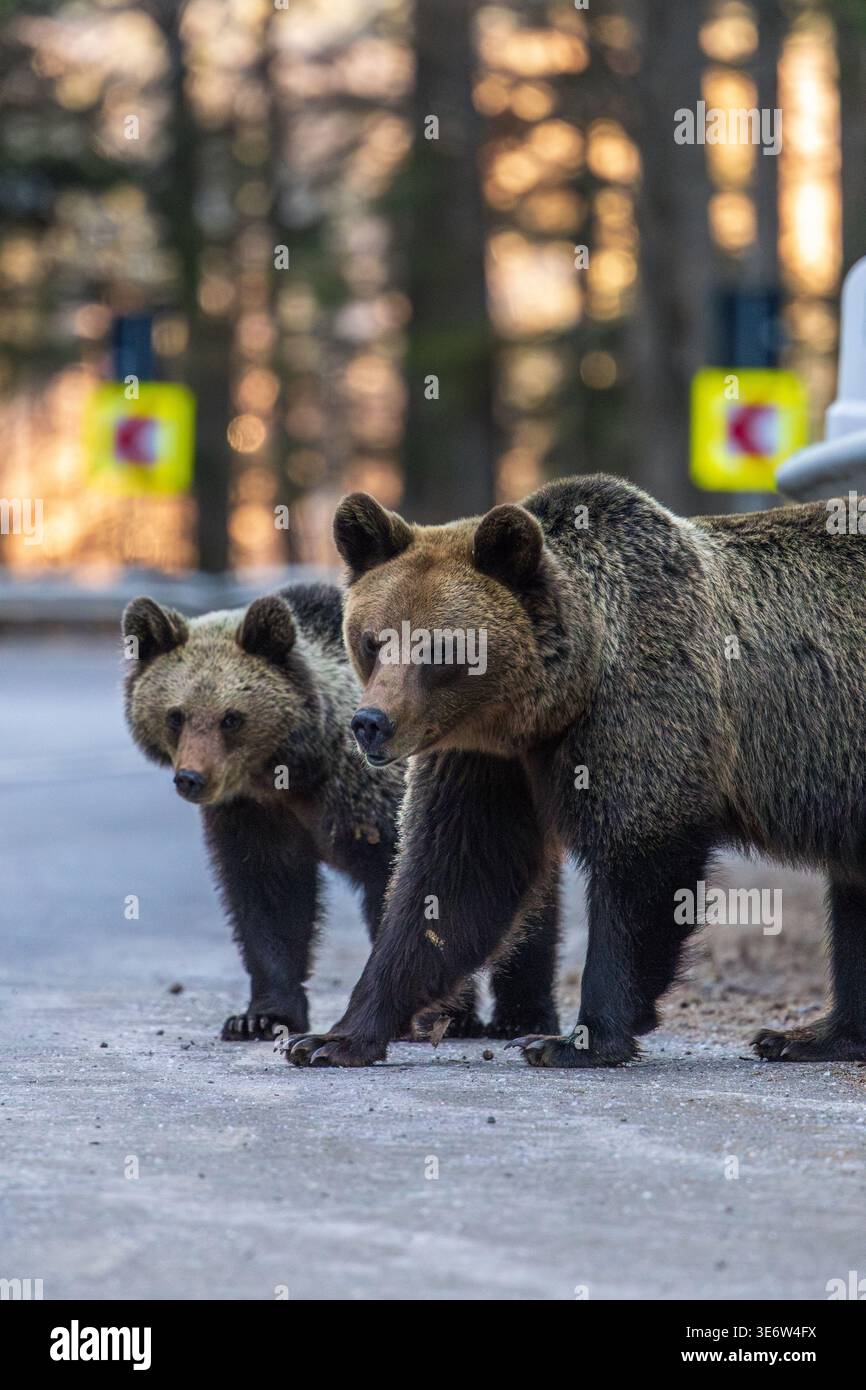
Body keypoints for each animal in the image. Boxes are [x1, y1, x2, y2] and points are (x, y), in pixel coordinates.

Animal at [122, 583, 560, 1042]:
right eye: (176, 715)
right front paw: (260, 1017)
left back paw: (524, 1015)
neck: (294, 771)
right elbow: (268, 900)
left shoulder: (376, 805)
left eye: (231, 718)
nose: (192, 778)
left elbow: (427, 895)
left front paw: (443, 1015)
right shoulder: (255, 813)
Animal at [285, 473, 866, 1069]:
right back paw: (811, 1036)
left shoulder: (641, 713)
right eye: (374, 639)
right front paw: (334, 1037)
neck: (550, 704)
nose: (371, 723)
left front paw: (572, 1040)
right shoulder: (487, 760)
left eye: (440, 647)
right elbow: (458, 875)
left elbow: (638, 868)